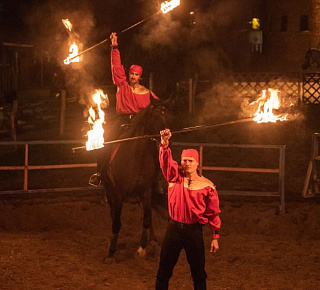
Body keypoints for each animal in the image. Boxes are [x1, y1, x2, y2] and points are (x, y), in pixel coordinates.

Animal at [102, 98, 172, 258]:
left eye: (168, 115)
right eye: (154, 115)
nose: (166, 135)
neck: (136, 155)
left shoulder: (146, 191)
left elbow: (147, 218)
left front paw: (142, 248)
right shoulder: (118, 192)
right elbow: (116, 222)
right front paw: (111, 252)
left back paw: (153, 240)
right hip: (109, 190)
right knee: (113, 213)